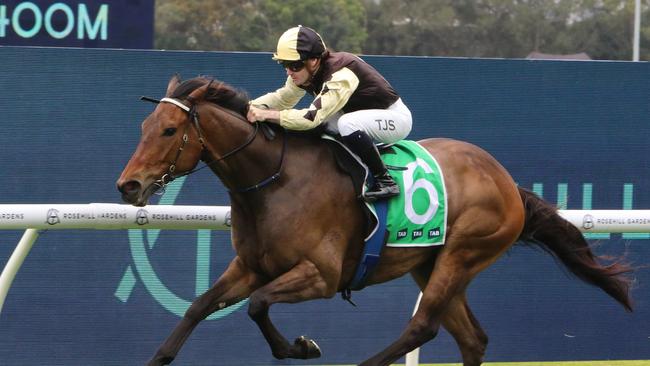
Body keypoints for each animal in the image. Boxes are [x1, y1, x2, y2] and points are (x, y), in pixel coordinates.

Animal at [117, 76, 632, 364]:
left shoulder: (320, 275)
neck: (274, 181)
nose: (129, 187)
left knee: (422, 327)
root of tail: (506, 180)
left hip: (463, 253)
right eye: (143, 128)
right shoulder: (251, 266)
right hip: (432, 262)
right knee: (472, 339)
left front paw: (302, 347)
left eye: (169, 130)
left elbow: (258, 306)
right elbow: (199, 307)